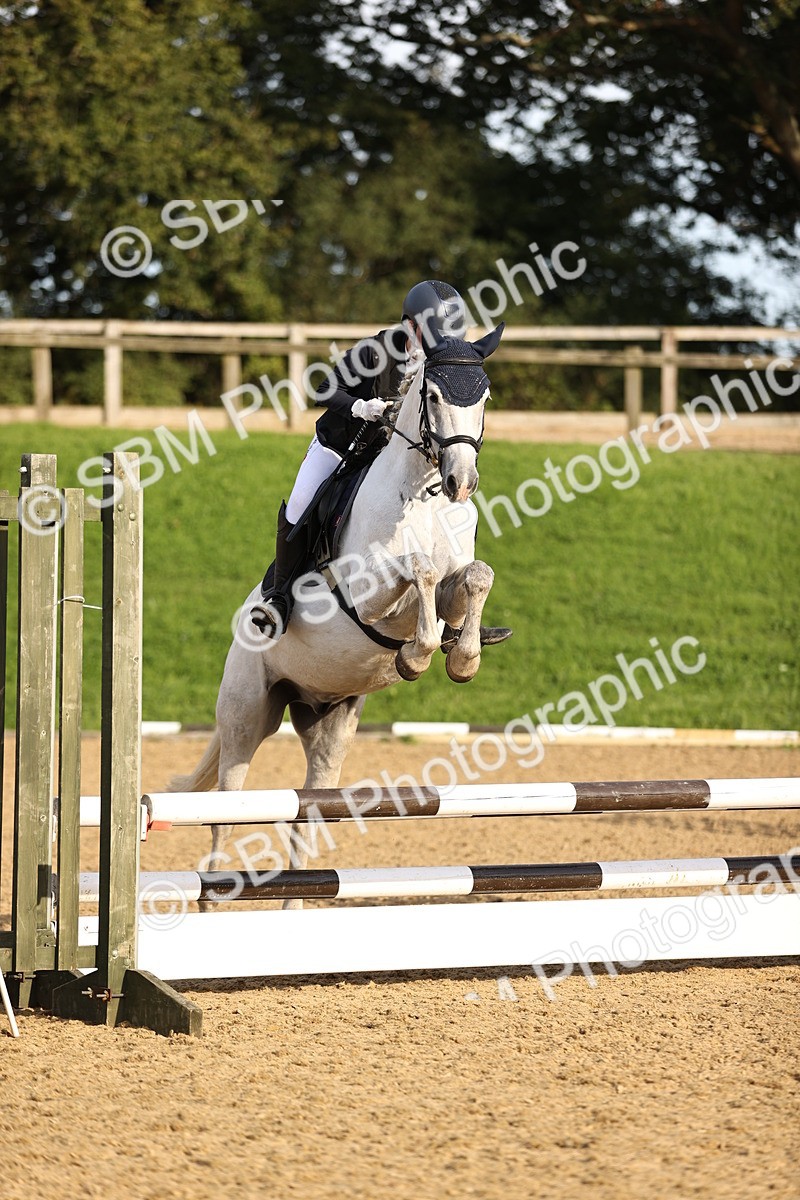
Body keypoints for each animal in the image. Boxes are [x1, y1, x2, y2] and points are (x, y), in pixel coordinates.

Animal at [170, 322, 505, 906]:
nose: (462, 483)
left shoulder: (451, 591)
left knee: (308, 813)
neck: (423, 495)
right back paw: (213, 898)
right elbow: (417, 570)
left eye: (484, 398)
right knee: (226, 808)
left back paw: (293, 904)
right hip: (246, 710)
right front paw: (417, 658)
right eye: (433, 396)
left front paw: (461, 659)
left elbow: (474, 576)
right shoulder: (367, 597)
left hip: (329, 724)